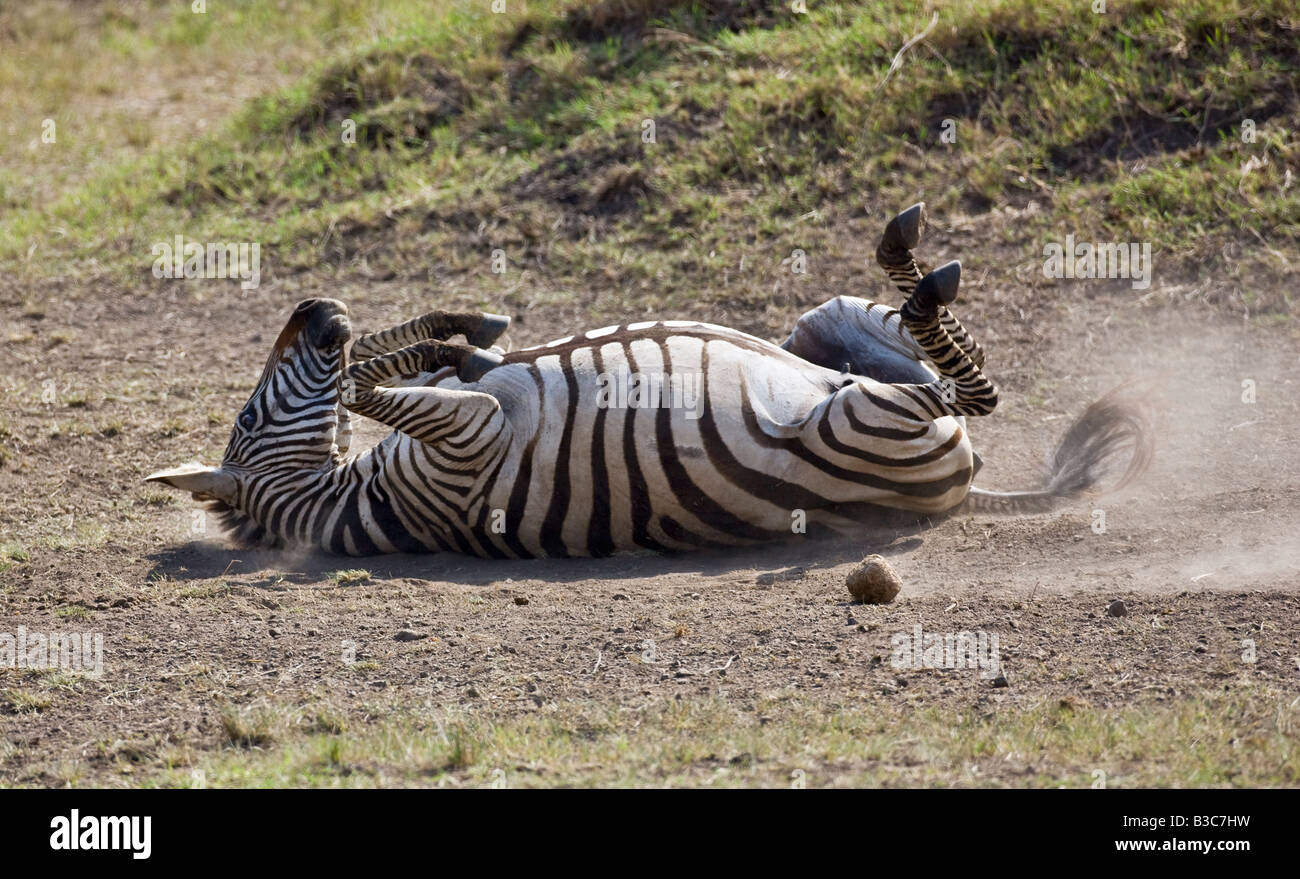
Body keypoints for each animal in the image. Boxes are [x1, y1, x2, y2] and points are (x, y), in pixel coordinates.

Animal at [147, 204, 1154, 556]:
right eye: (249, 418)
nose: (316, 304)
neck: (360, 500)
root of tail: (963, 491)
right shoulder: (469, 443)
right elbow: (361, 385)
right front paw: (441, 338)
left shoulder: (462, 416)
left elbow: (408, 367)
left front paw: (467, 329)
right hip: (862, 421)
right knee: (963, 395)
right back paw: (922, 273)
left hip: (819, 327)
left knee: (920, 356)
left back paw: (911, 258)